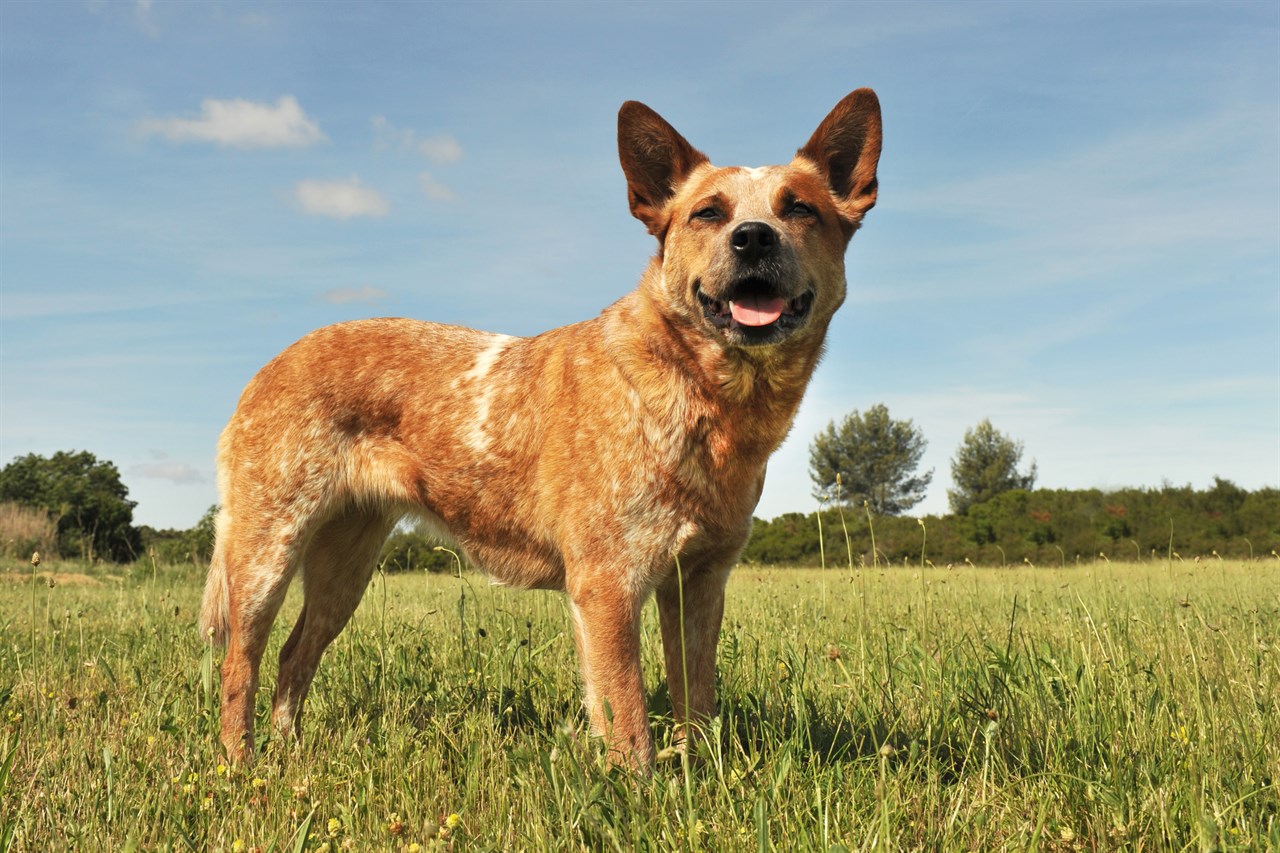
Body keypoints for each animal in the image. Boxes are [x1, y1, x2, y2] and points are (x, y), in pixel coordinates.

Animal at [199, 89, 880, 768]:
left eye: (800, 209)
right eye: (707, 214)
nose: (753, 238)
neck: (703, 393)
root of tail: (269, 366)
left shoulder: (701, 580)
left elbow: (696, 702)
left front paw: (700, 776)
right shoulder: (608, 584)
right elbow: (629, 720)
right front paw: (638, 788)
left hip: (346, 564)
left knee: (295, 655)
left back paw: (287, 754)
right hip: (267, 550)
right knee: (240, 663)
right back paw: (241, 767)